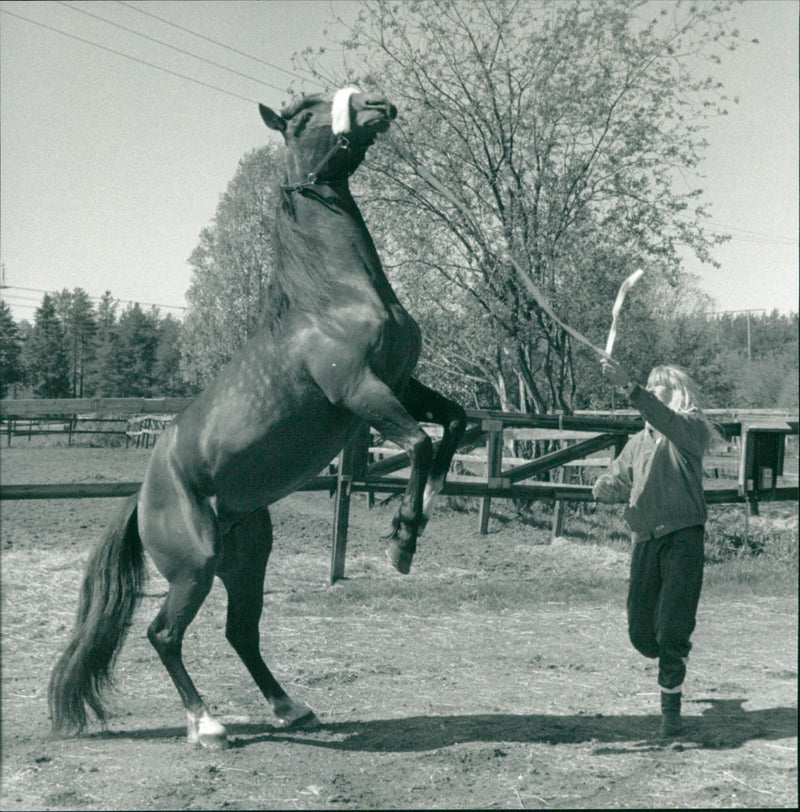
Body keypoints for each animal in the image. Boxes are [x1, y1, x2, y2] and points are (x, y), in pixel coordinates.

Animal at [48, 87, 462, 748]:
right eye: (304, 116)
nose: (378, 103)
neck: (334, 296)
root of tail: (143, 497)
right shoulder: (361, 392)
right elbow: (421, 443)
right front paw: (402, 540)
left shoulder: (404, 384)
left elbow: (458, 423)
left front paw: (422, 512)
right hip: (195, 568)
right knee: (164, 634)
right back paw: (207, 725)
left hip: (247, 560)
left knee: (240, 630)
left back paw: (291, 708)